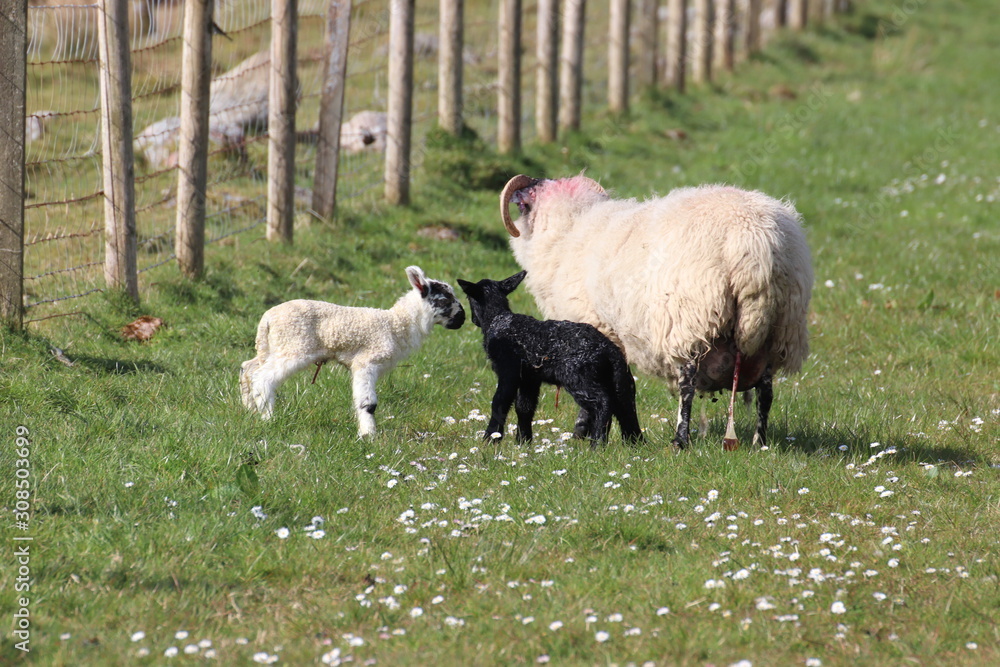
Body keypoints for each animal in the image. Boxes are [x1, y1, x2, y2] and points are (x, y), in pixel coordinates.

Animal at [240, 266, 465, 437]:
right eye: (444, 300)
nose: (462, 319)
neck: (396, 324)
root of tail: (267, 319)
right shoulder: (367, 361)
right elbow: (368, 403)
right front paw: (368, 436)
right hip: (294, 345)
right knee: (263, 378)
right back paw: (268, 418)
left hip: (272, 346)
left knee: (248, 369)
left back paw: (250, 410)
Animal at [458, 270, 643, 447]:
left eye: (468, 298)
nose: (473, 320)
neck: (498, 319)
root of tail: (609, 350)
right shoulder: (530, 378)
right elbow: (524, 407)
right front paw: (523, 442)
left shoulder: (508, 370)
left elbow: (499, 402)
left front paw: (490, 439)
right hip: (618, 379)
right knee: (625, 406)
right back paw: (635, 445)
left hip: (580, 378)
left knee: (602, 403)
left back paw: (597, 445)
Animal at [498, 174, 813, 450]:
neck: (569, 229)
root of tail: (752, 241)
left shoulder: (592, 327)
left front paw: (581, 433)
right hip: (780, 327)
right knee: (766, 392)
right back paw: (761, 441)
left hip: (689, 319)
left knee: (687, 386)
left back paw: (680, 440)